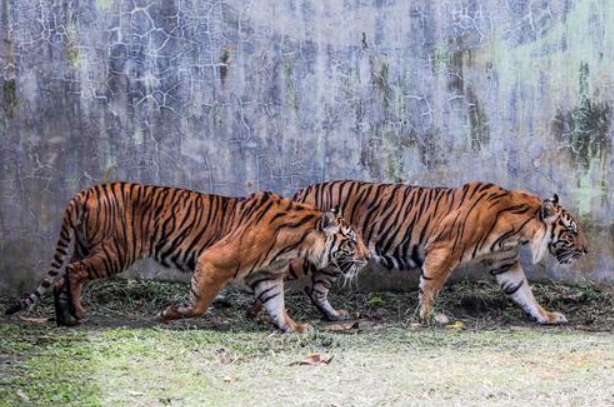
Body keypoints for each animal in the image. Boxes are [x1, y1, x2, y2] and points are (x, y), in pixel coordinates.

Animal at [3, 183, 370, 334]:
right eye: (352, 241)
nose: (368, 257)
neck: (297, 242)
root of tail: (86, 191)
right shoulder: (214, 260)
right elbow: (200, 303)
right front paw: (169, 313)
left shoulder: (267, 275)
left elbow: (276, 304)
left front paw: (293, 327)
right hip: (115, 252)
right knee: (74, 272)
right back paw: (78, 312)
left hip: (88, 246)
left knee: (62, 276)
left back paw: (65, 318)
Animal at [288, 181, 592, 326]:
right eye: (571, 230)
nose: (587, 250)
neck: (518, 228)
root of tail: (300, 193)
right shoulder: (444, 249)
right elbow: (430, 287)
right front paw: (428, 318)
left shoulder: (504, 262)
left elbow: (523, 292)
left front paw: (546, 317)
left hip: (336, 259)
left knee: (316, 290)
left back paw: (334, 315)